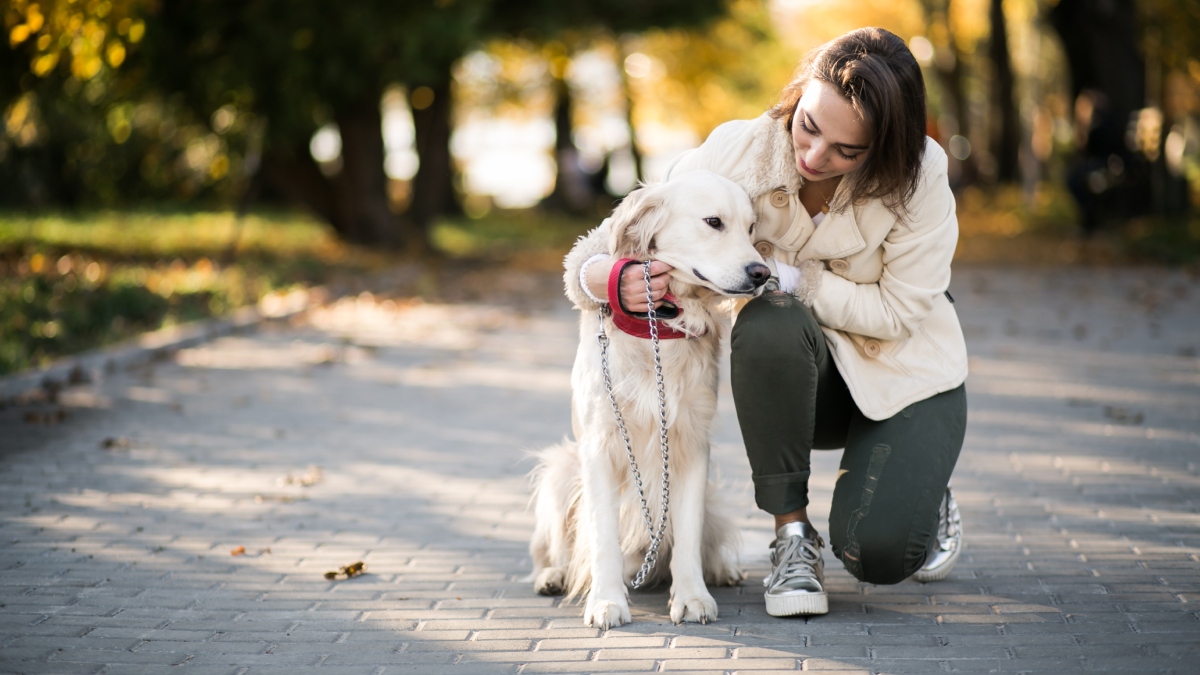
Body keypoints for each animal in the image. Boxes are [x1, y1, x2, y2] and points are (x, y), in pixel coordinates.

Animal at [530, 168, 772, 624]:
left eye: (752, 228)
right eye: (714, 222)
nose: (761, 273)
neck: (658, 324)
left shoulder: (691, 443)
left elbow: (689, 532)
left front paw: (692, 596)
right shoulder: (600, 444)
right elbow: (602, 533)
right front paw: (606, 600)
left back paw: (722, 569)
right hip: (560, 470)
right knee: (553, 547)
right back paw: (552, 574)